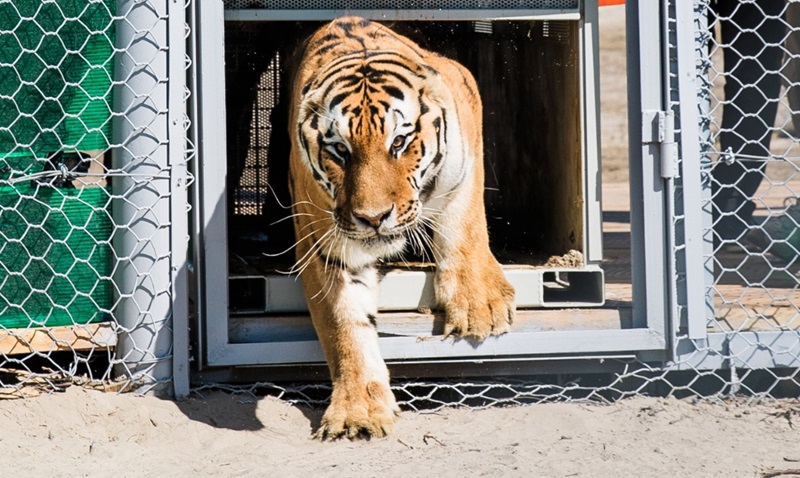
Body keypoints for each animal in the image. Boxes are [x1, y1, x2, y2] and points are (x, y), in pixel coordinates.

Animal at [290, 16, 516, 438]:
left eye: (398, 142)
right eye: (339, 150)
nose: (373, 218)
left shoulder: (466, 124)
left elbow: (465, 224)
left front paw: (480, 308)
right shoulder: (328, 246)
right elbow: (344, 324)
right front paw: (358, 411)